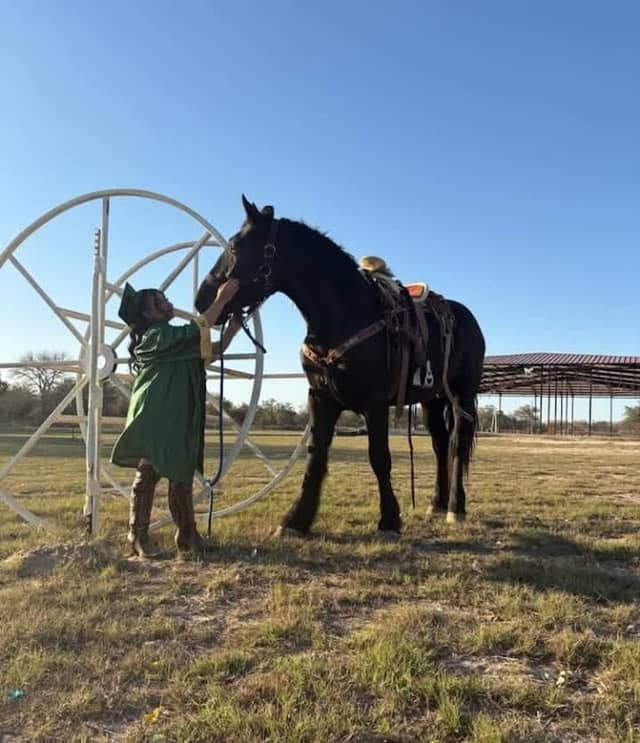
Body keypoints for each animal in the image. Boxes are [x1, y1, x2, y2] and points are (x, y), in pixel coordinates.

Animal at [195, 196, 485, 537]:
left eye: (235, 247)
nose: (202, 300)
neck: (348, 313)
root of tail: (466, 318)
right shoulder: (321, 398)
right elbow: (316, 456)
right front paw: (296, 520)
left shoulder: (375, 404)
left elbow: (379, 458)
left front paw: (389, 521)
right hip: (432, 400)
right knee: (441, 445)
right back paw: (437, 504)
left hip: (461, 396)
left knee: (456, 445)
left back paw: (455, 507)